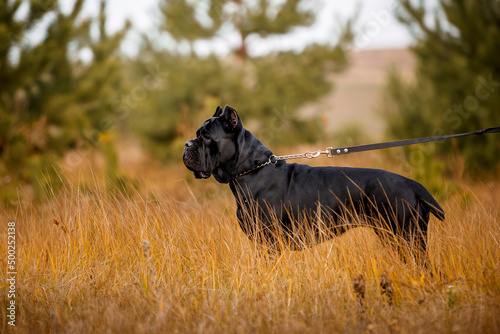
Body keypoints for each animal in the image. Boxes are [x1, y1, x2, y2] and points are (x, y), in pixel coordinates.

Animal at [184, 105, 446, 260]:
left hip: (406, 236)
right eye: (196, 134)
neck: (251, 170)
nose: (187, 144)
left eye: (206, 136)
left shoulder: (270, 242)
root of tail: (412, 184)